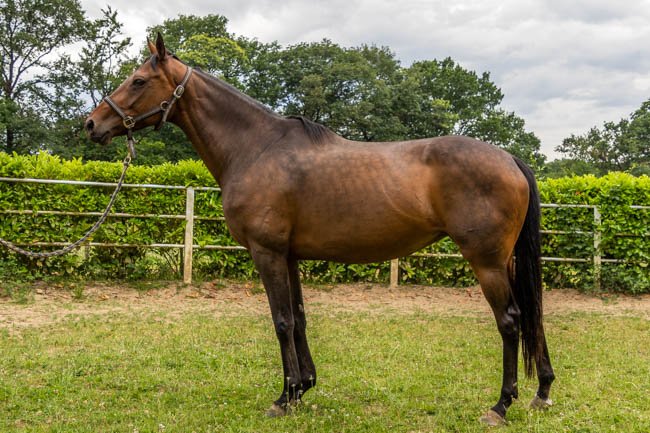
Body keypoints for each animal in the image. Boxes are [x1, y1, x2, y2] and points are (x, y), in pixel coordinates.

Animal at [85, 34, 555, 425]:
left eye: (139, 80)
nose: (92, 124)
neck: (256, 148)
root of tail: (510, 159)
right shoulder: (289, 256)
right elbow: (299, 318)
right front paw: (303, 388)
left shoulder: (267, 253)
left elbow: (281, 321)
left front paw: (284, 396)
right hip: (505, 261)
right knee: (532, 315)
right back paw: (542, 392)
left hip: (486, 262)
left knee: (510, 321)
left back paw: (501, 405)